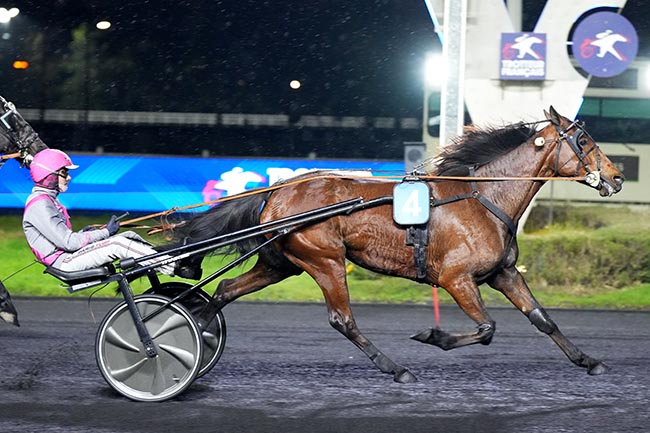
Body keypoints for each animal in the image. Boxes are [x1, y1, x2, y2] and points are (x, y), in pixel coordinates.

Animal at [167, 105, 624, 382]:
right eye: (584, 142)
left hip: (282, 263)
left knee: (223, 291)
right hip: (325, 260)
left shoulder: (503, 273)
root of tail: (277, 191)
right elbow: (487, 329)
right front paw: (433, 337)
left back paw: (190, 334)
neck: (483, 197)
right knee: (342, 320)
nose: (617, 177)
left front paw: (589, 360)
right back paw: (395, 367)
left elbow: (542, 318)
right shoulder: (457, 278)